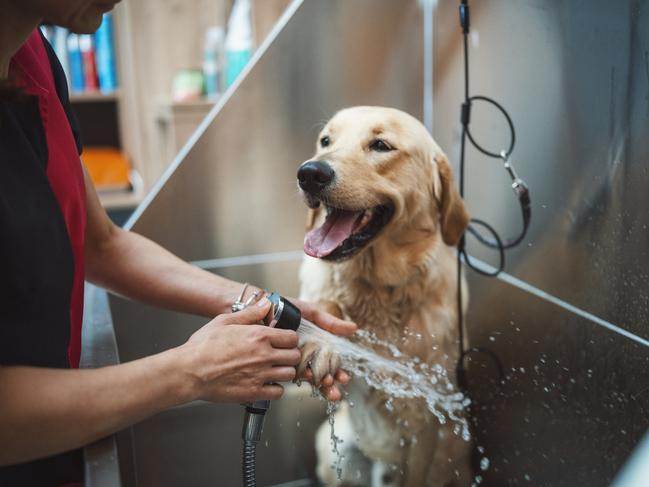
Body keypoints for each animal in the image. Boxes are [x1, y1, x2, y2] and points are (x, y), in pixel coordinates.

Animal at [294, 107, 470, 487]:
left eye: (380, 145)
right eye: (325, 140)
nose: (309, 173)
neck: (377, 288)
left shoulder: (423, 421)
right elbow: (326, 306)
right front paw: (322, 343)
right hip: (332, 450)